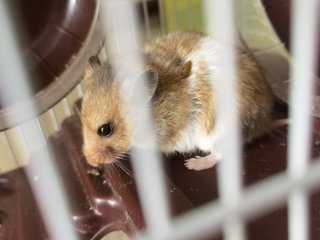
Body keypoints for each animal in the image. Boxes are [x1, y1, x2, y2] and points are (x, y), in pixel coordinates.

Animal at [81, 31, 274, 171]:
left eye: (105, 130)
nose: (89, 162)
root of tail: (265, 122)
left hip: (219, 134)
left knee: (220, 155)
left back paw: (193, 164)